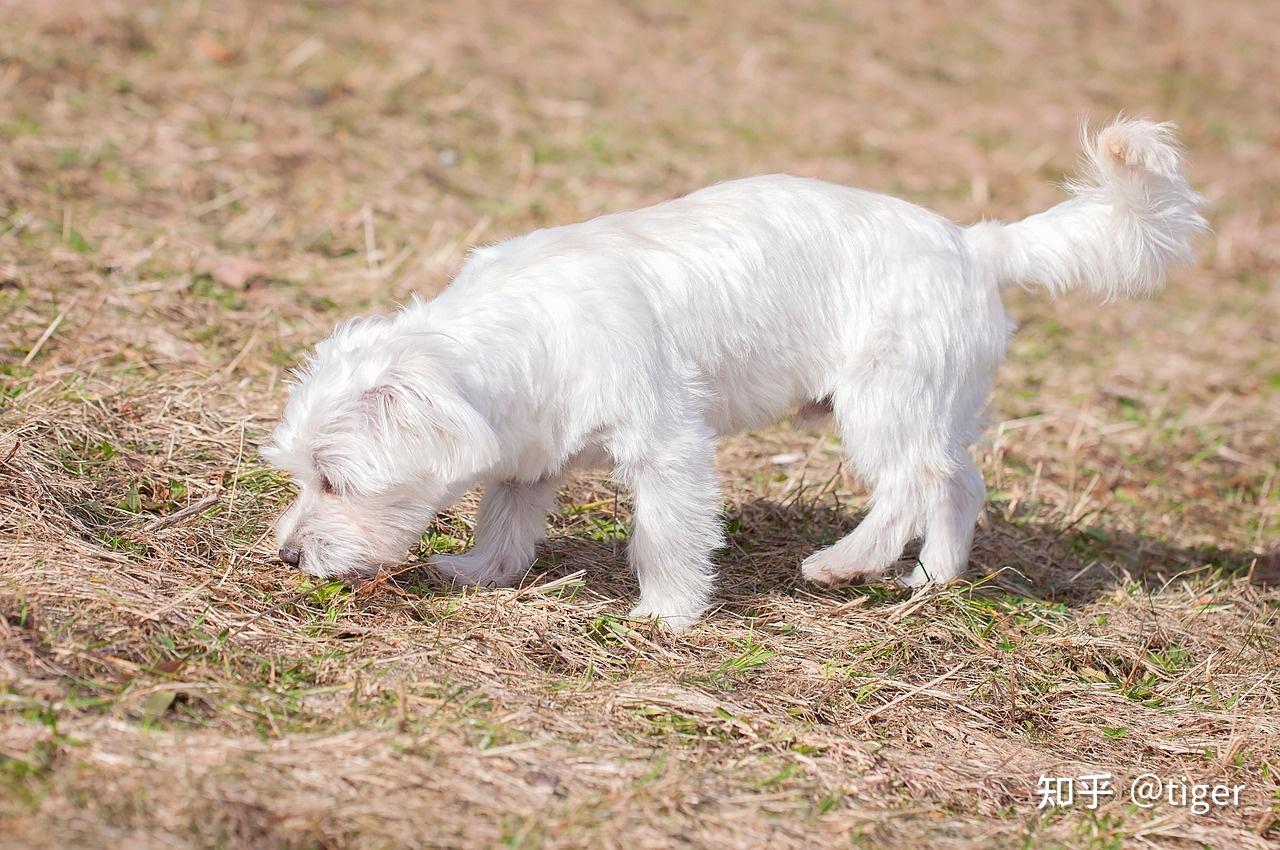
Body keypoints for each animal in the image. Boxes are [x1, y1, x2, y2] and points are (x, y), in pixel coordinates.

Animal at [264, 116, 1203, 627]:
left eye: (336, 482)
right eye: (302, 478)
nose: (286, 555)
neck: (516, 329)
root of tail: (977, 244)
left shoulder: (668, 444)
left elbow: (666, 534)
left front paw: (666, 613)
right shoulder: (530, 452)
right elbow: (505, 517)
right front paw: (479, 572)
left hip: (882, 398)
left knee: (912, 480)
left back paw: (843, 563)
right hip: (936, 403)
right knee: (958, 483)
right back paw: (932, 579)